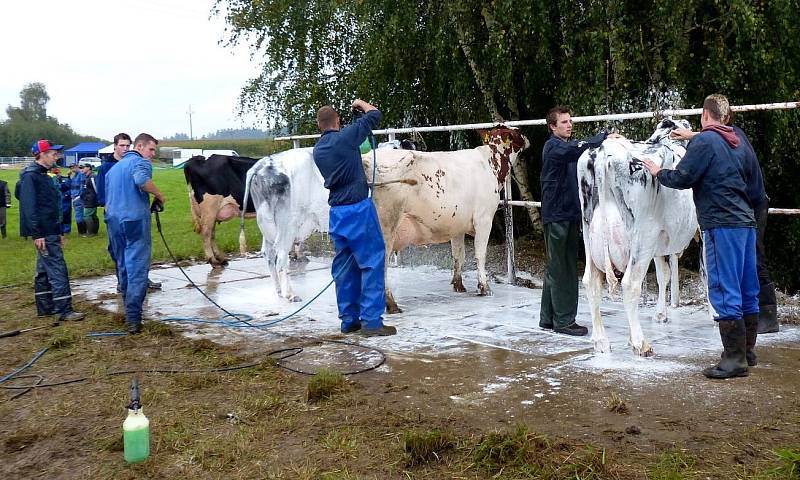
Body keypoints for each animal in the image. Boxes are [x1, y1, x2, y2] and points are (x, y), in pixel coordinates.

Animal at [364, 126, 528, 316]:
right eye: (516, 132)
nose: (527, 137)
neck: (490, 163)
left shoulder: (457, 225)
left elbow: (458, 255)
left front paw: (458, 284)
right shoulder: (484, 219)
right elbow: (480, 255)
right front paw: (484, 287)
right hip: (387, 227)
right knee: (379, 265)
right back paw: (391, 304)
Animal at [580, 117, 696, 354]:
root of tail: (604, 152)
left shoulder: (659, 243)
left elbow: (663, 274)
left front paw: (660, 314)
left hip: (590, 232)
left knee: (591, 281)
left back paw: (601, 341)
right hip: (643, 235)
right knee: (630, 284)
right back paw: (639, 343)